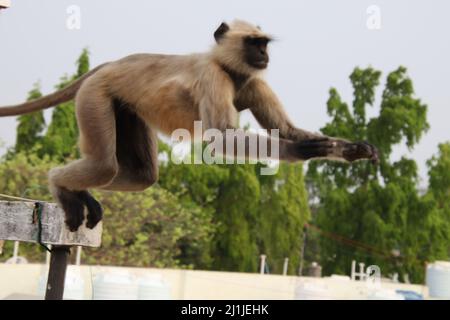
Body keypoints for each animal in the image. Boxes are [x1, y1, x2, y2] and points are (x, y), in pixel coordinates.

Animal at [0, 20, 378, 231]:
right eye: (254, 43)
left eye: (264, 44)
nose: (264, 55)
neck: (227, 68)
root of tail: (110, 65)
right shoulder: (214, 77)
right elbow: (220, 138)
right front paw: (302, 149)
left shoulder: (253, 81)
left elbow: (286, 129)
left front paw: (351, 149)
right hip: (95, 97)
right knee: (105, 166)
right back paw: (60, 185)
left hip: (121, 105)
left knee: (140, 174)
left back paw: (78, 191)